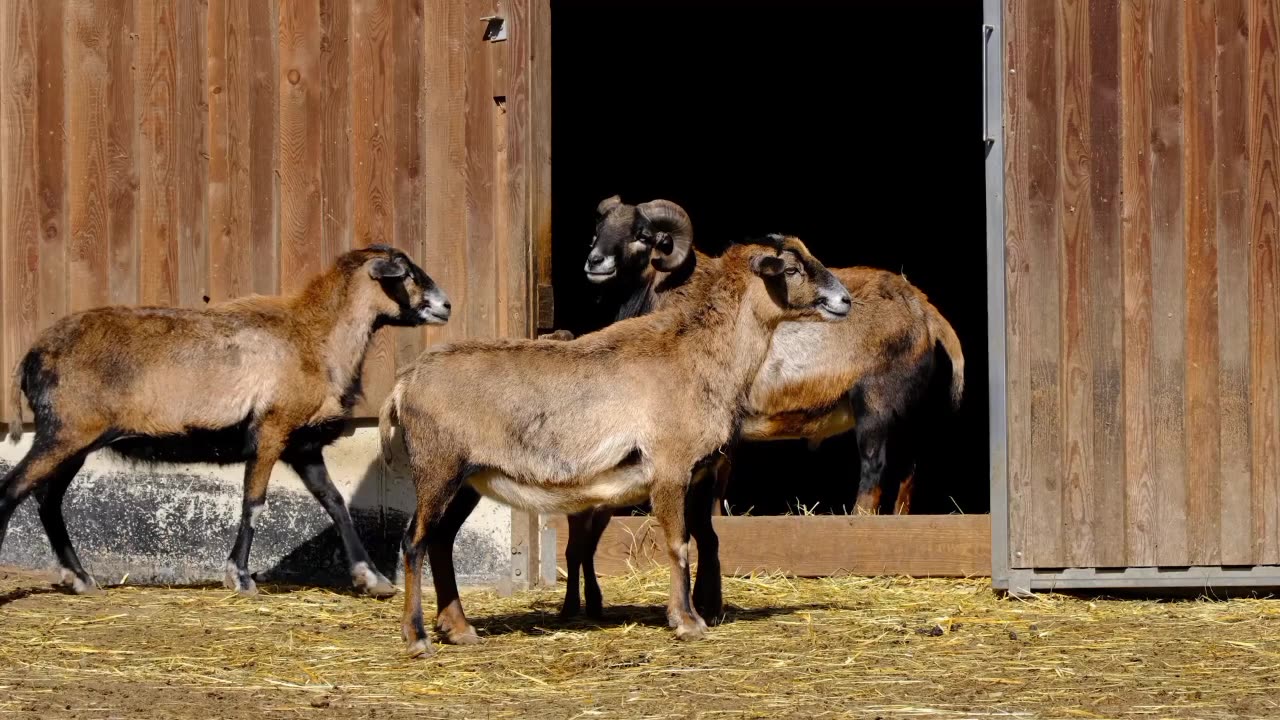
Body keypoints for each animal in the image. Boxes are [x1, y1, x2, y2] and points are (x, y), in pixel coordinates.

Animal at [0, 243, 453, 597]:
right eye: (406, 272)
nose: (446, 305)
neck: (317, 338)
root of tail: (31, 356)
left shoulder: (302, 445)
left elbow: (336, 503)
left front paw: (372, 579)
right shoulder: (271, 430)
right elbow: (253, 502)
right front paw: (240, 576)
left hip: (73, 439)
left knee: (47, 499)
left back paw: (80, 578)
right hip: (64, 432)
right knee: (12, 490)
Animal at [381, 233, 860, 653]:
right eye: (792, 269)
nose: (844, 301)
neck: (694, 355)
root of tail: (403, 385)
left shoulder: (697, 474)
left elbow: (699, 540)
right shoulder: (669, 469)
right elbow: (679, 545)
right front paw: (687, 622)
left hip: (466, 480)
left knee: (441, 542)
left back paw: (460, 630)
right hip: (437, 469)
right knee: (413, 542)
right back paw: (417, 637)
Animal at [555, 194, 962, 617]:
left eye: (643, 235)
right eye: (599, 230)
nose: (596, 262)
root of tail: (925, 313)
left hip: (876, 409)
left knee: (873, 473)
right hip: (907, 419)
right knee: (908, 475)